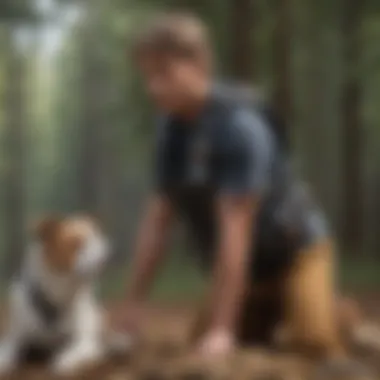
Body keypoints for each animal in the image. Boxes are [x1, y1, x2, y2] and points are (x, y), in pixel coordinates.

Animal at [0, 215, 132, 376]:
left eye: (96, 237)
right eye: (77, 244)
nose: (109, 250)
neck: (55, 299)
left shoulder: (84, 341)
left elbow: (65, 360)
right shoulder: (15, 336)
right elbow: (6, 352)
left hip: (96, 315)